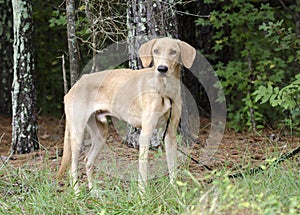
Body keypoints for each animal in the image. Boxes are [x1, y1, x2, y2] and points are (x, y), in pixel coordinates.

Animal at [57, 37, 197, 195]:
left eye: (173, 52)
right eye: (156, 51)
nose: (162, 69)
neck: (164, 90)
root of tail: (76, 84)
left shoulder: (171, 134)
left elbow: (172, 168)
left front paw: (174, 192)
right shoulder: (146, 133)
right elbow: (143, 170)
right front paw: (143, 195)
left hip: (101, 135)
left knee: (88, 161)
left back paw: (93, 192)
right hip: (77, 134)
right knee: (72, 168)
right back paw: (77, 194)